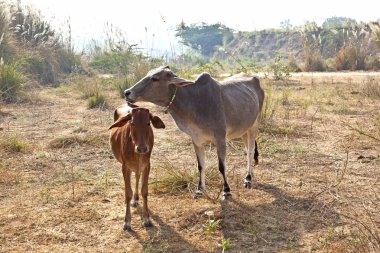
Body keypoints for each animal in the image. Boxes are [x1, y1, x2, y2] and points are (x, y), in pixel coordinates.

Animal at [124, 65, 264, 200]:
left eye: (155, 78)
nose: (127, 92)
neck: (193, 101)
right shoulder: (196, 140)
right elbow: (201, 166)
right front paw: (199, 190)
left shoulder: (220, 139)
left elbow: (221, 166)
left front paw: (227, 191)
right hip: (244, 130)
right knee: (248, 150)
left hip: (254, 125)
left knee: (250, 152)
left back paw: (248, 178)